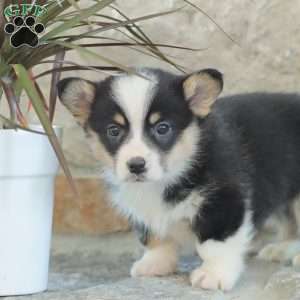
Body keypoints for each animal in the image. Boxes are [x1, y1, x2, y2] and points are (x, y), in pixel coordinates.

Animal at [56, 67, 300, 290]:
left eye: (162, 128)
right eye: (114, 131)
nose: (136, 165)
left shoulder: (223, 201)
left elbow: (215, 244)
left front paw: (214, 274)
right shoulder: (145, 212)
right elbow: (155, 239)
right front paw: (155, 264)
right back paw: (282, 249)